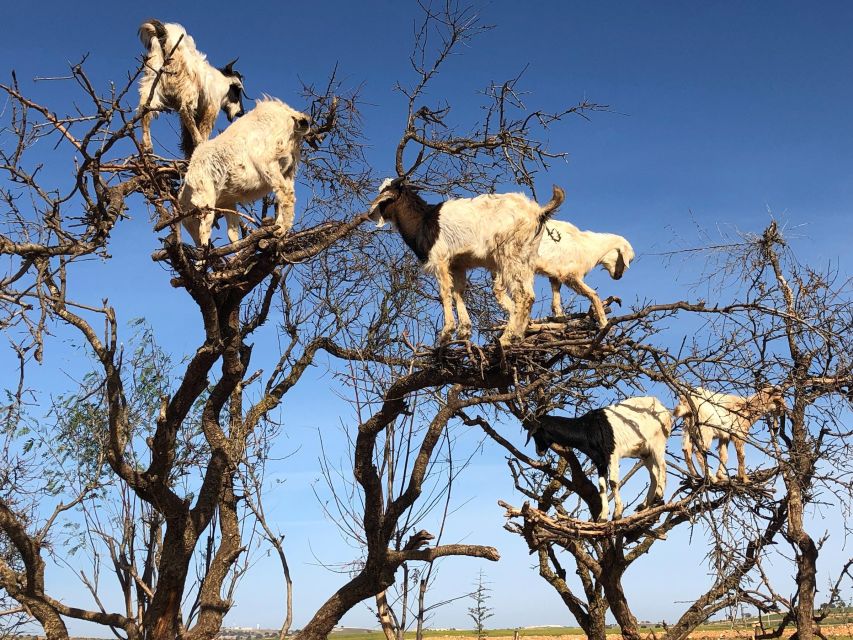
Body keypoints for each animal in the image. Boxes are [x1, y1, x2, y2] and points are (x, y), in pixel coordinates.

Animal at [136, 20, 248, 156]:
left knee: (145, 110)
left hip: (152, 80)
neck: (220, 82)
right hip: (187, 86)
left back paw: (147, 147)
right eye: (237, 90)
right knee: (185, 110)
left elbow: (186, 141)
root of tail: (165, 36)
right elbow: (204, 128)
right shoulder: (211, 107)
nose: (241, 112)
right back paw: (199, 141)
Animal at [178, 96, 312, 246]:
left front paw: (204, 251)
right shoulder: (228, 202)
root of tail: (290, 115)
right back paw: (279, 227)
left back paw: (281, 230)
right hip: (289, 168)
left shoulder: (205, 195)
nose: (198, 244)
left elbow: (205, 227)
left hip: (267, 160)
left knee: (285, 193)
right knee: (285, 194)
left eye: (192, 220)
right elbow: (232, 231)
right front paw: (236, 248)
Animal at [370, 178, 564, 348]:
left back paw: (506, 338)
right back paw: (518, 335)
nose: (371, 215)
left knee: (523, 295)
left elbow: (445, 293)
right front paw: (464, 331)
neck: (423, 221)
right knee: (529, 294)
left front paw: (446, 333)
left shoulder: (440, 259)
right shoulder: (458, 265)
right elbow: (458, 292)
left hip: (509, 255)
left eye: (385, 195)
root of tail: (537, 212)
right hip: (526, 259)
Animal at [524, 398, 672, 524]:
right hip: (644, 452)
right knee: (653, 473)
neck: (587, 428)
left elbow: (613, 482)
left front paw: (617, 514)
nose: (539, 452)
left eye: (536, 433)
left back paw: (658, 495)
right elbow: (602, 486)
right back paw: (645, 504)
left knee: (662, 465)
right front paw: (603, 517)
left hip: (657, 442)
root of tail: (663, 409)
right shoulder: (599, 460)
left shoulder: (612, 453)